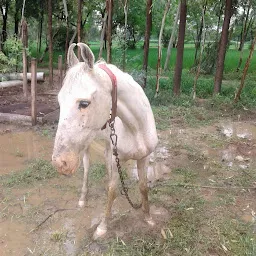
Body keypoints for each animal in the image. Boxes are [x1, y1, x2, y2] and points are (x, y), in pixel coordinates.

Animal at [52, 43, 158, 239]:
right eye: (59, 101)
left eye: (84, 103)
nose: (60, 163)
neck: (137, 129)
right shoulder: (116, 158)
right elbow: (112, 190)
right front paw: (102, 227)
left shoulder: (144, 157)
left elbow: (143, 187)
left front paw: (148, 218)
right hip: (86, 147)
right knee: (86, 169)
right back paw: (82, 199)